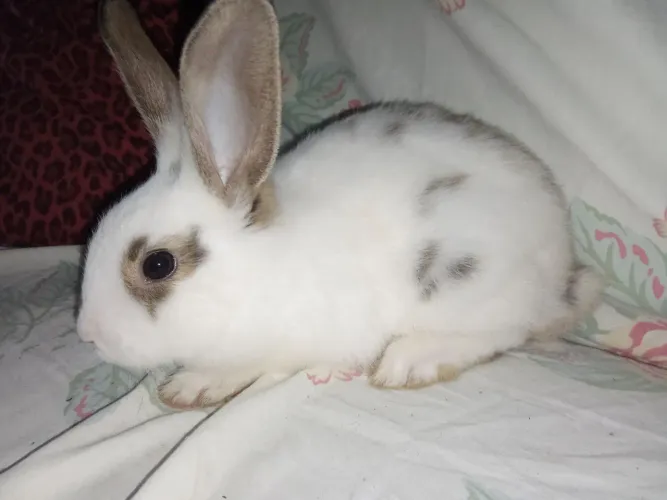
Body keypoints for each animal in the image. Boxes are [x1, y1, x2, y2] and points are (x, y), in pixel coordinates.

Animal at [77, 0, 604, 410]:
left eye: (158, 264)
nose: (86, 334)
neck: (256, 272)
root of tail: (563, 270)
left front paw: (192, 385)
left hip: (470, 287)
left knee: (505, 331)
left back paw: (408, 361)